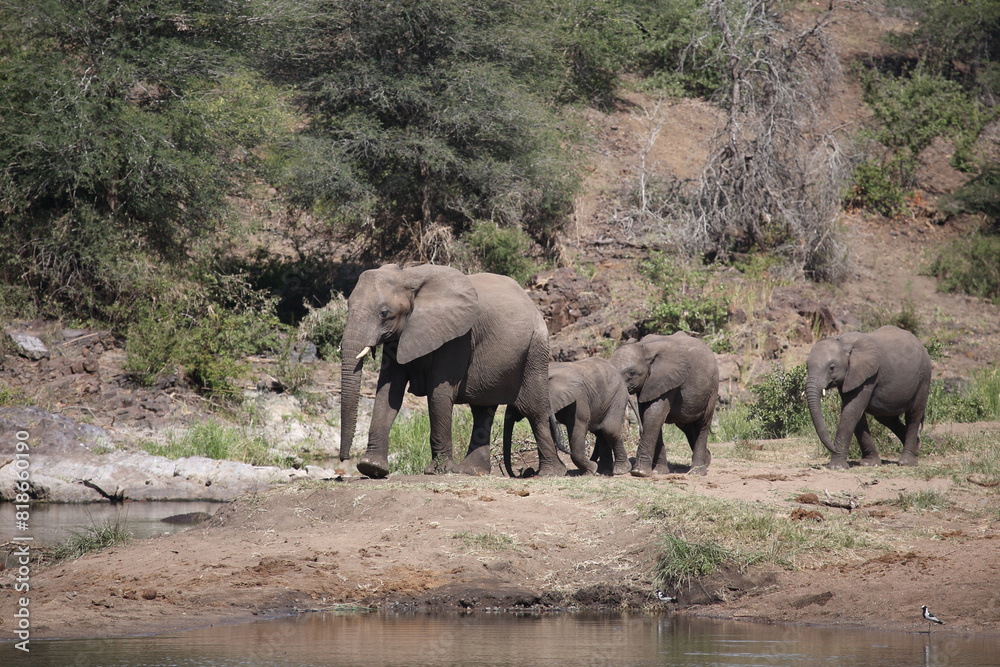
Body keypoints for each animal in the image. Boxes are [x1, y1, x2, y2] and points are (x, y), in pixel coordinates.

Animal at [338, 263, 566, 479]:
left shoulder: (459, 337)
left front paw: (438, 471)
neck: (408, 276)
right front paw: (371, 467)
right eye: (347, 307)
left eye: (384, 313)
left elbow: (438, 393)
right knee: (482, 409)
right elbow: (388, 393)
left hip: (536, 349)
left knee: (533, 409)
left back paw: (550, 473)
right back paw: (471, 471)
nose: (343, 459)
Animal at [502, 357, 632, 478]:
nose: (519, 473)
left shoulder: (578, 399)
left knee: (609, 430)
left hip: (618, 396)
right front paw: (590, 469)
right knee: (600, 432)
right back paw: (603, 471)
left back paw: (620, 470)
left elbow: (577, 428)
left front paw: (590, 471)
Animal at [609, 332, 719, 476]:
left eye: (631, 373)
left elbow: (654, 414)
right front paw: (659, 472)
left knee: (703, 424)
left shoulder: (668, 378)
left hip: (712, 387)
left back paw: (697, 472)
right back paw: (707, 460)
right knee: (687, 425)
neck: (644, 348)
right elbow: (648, 416)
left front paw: (639, 472)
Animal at [805, 325, 931, 469]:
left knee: (913, 416)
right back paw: (917, 446)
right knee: (887, 418)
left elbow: (851, 411)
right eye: (806, 366)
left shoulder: (868, 376)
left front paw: (836, 466)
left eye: (832, 367)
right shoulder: (851, 377)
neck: (843, 342)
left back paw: (906, 462)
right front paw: (869, 463)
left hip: (924, 377)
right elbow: (856, 415)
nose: (833, 447)